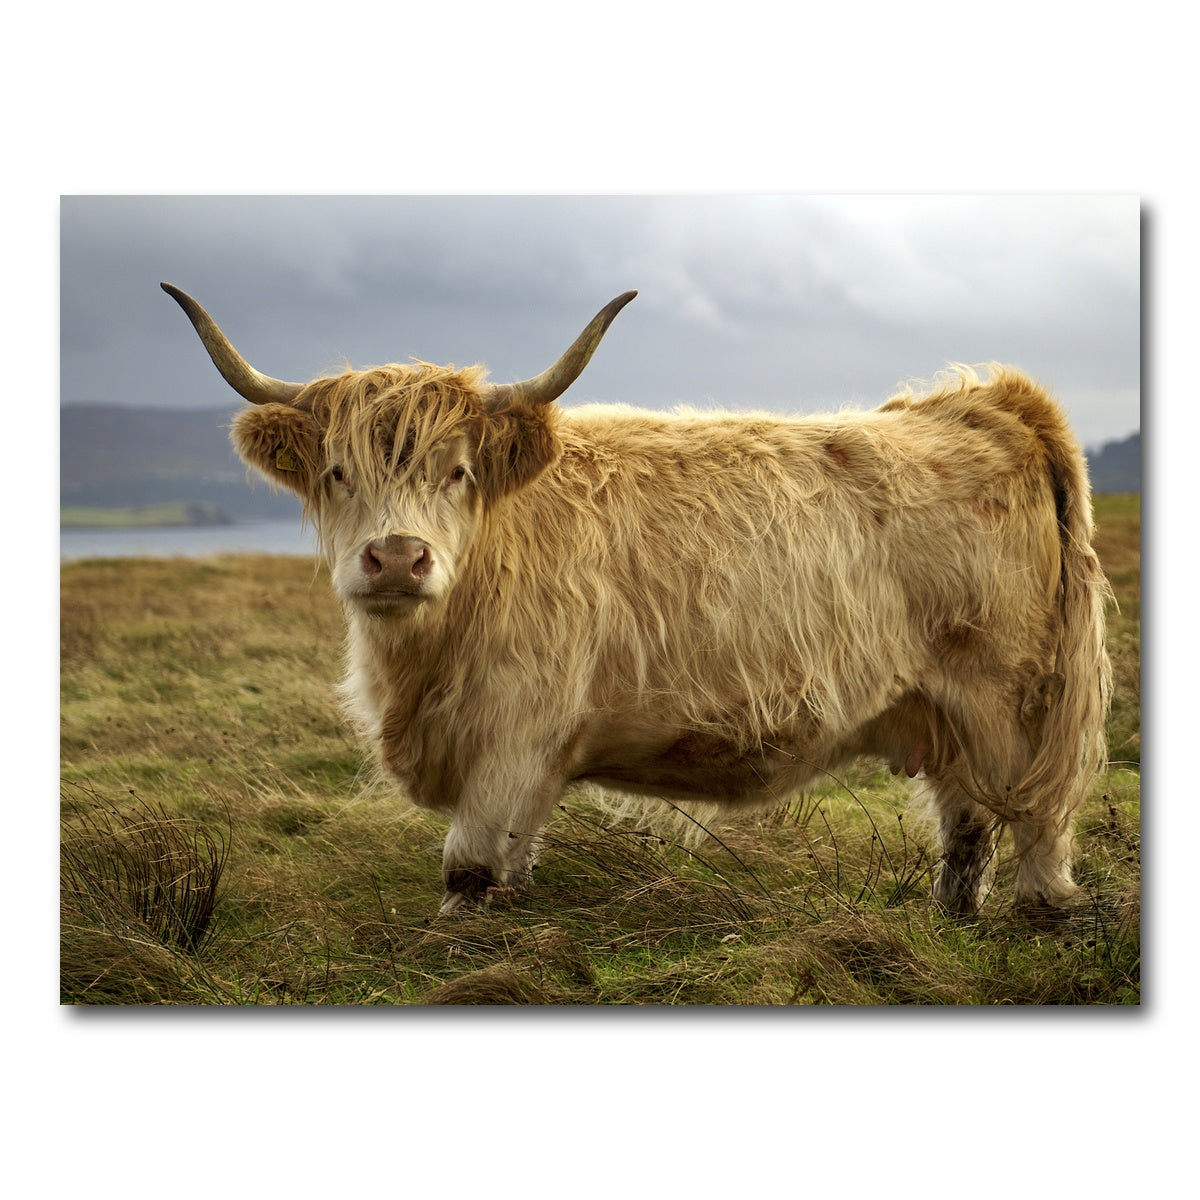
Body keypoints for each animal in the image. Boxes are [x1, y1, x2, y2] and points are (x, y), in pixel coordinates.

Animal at [162, 282, 1113, 917]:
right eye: (336, 472)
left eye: (459, 471)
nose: (397, 558)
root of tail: (986, 401)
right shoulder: (531, 760)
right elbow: (510, 869)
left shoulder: (514, 735)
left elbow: (467, 873)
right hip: (943, 707)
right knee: (967, 823)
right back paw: (948, 919)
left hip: (1011, 700)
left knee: (1035, 821)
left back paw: (1034, 916)